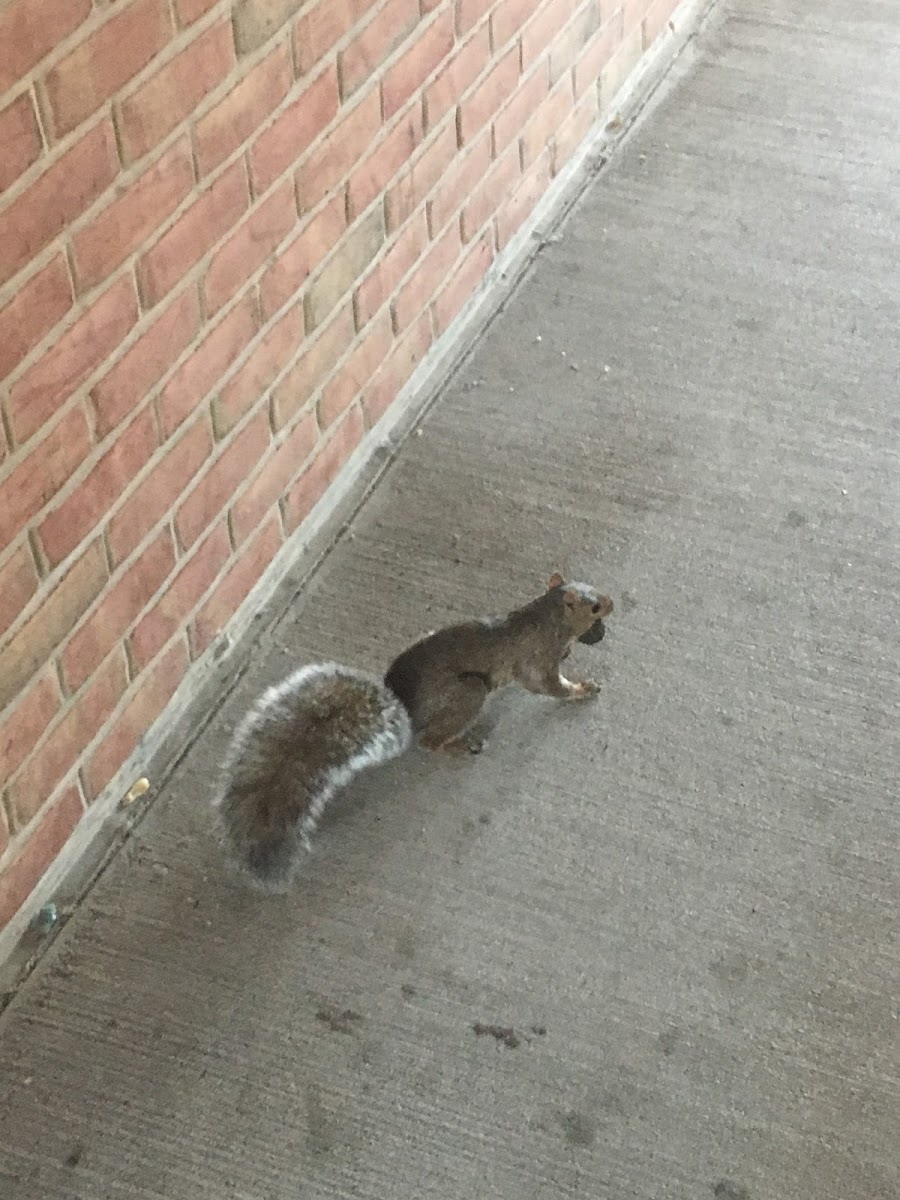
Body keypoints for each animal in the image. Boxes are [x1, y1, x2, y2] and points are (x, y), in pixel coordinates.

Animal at [214, 571, 619, 892]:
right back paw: (458, 746)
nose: (613, 604)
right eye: (594, 606)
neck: (546, 616)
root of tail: (405, 711)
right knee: (430, 741)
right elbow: (548, 686)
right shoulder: (537, 659)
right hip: (467, 694)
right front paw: (582, 689)